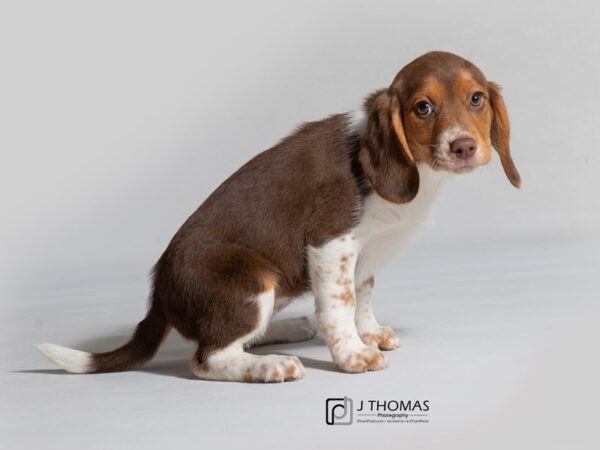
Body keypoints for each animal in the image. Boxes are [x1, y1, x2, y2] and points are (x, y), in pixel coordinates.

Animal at [39, 52, 524, 384]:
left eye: (477, 99)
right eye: (423, 107)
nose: (463, 147)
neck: (422, 173)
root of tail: (159, 294)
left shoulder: (363, 254)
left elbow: (362, 294)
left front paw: (368, 333)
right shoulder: (331, 244)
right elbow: (340, 304)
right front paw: (353, 355)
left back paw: (289, 328)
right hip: (252, 281)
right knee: (208, 357)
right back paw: (271, 366)